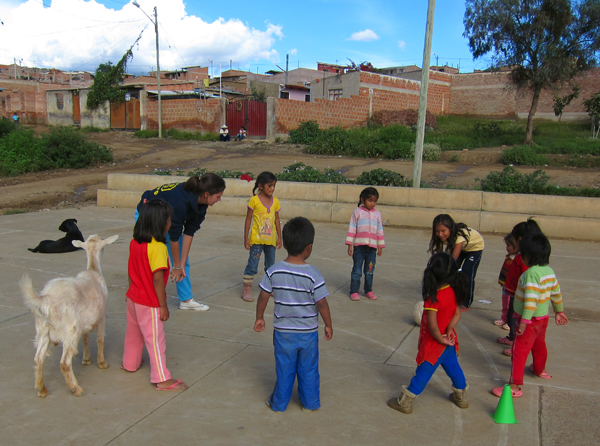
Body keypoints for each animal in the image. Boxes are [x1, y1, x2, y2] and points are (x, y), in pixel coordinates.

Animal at [20, 233, 118, 398]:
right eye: (103, 247)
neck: (93, 270)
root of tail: (46, 299)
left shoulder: (85, 323)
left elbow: (86, 339)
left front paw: (86, 359)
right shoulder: (101, 315)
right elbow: (100, 339)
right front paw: (102, 363)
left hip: (42, 330)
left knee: (38, 359)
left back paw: (41, 389)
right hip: (70, 331)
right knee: (64, 363)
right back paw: (75, 388)